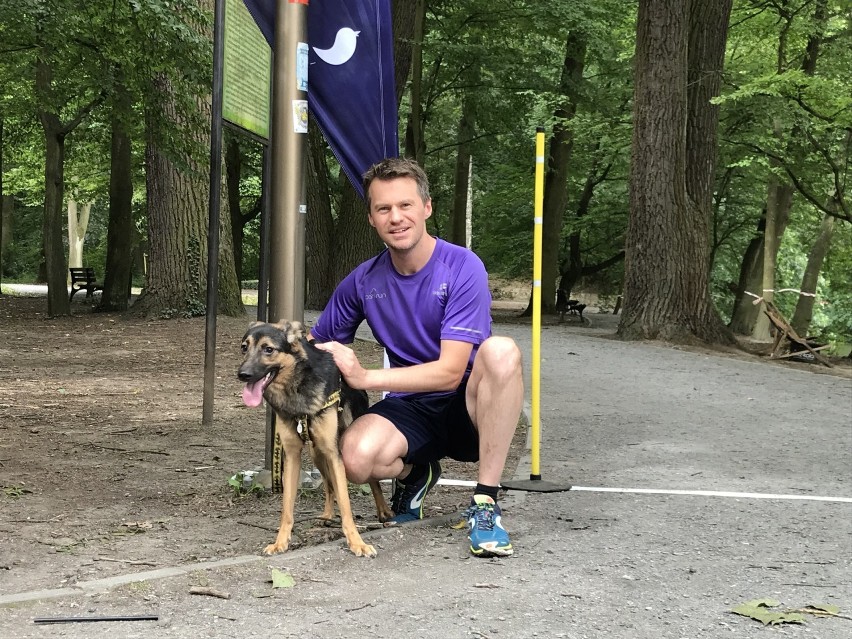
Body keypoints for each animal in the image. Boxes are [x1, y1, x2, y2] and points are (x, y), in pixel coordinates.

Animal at [236, 322, 390, 556]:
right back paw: (327, 515)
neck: (297, 387)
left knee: (370, 480)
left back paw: (384, 512)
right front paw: (280, 542)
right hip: (316, 452)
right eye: (244, 347)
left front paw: (357, 542)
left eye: (268, 349)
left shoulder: (335, 454)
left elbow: (346, 504)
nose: (243, 374)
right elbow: (287, 508)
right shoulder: (292, 456)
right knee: (328, 484)